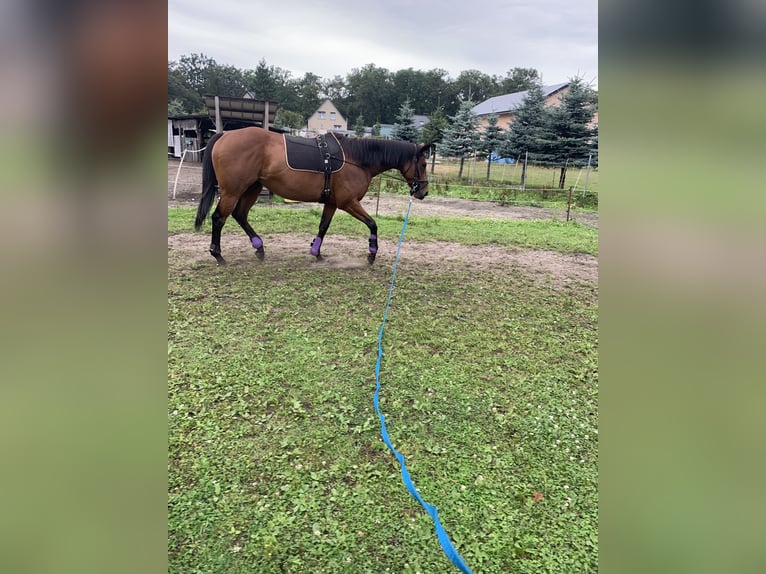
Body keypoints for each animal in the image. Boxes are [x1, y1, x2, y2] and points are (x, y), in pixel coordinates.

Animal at [194, 127, 432, 266]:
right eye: (423, 164)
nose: (423, 191)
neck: (355, 159)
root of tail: (226, 134)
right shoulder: (348, 202)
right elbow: (373, 224)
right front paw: (372, 253)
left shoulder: (333, 202)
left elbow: (323, 227)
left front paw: (316, 251)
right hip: (233, 191)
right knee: (219, 218)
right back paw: (218, 254)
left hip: (252, 188)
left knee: (240, 215)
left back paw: (259, 247)